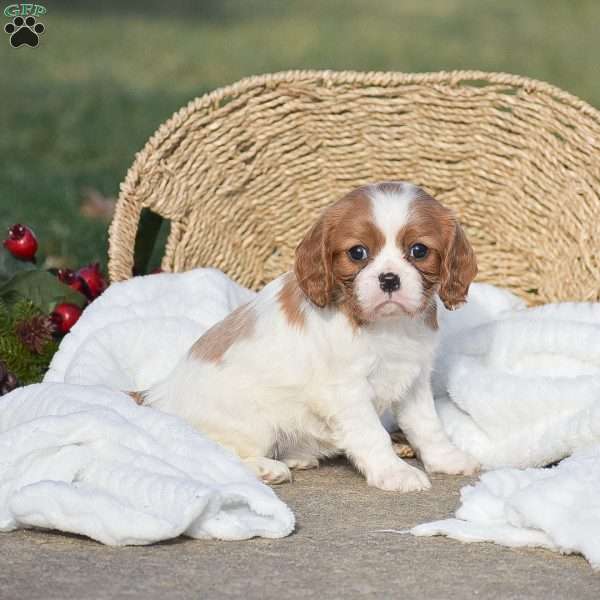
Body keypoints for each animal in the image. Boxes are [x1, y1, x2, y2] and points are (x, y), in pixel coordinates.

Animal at [145, 180, 478, 490]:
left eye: (419, 251)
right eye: (357, 253)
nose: (389, 279)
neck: (387, 325)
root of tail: (160, 397)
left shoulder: (414, 378)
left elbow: (427, 425)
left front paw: (447, 459)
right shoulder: (347, 389)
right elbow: (372, 433)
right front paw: (394, 472)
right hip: (250, 422)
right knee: (217, 452)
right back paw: (267, 468)